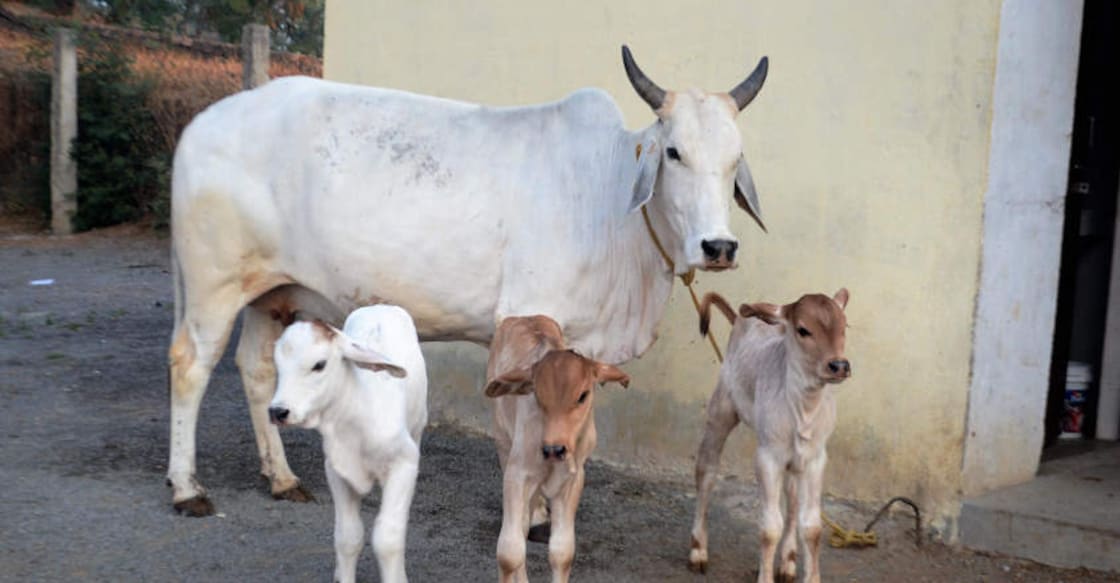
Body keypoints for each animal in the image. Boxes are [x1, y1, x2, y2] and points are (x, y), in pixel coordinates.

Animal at [167, 45, 769, 514]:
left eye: (736, 158)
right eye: (674, 152)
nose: (718, 247)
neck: (608, 197)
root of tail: (202, 122)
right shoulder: (527, 323)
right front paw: (534, 517)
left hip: (271, 293)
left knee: (256, 369)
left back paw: (282, 477)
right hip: (213, 284)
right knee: (190, 365)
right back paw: (186, 487)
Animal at [269, 305, 427, 583]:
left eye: (319, 365)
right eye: (278, 364)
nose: (278, 411)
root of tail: (380, 305)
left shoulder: (404, 463)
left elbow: (387, 539)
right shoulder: (336, 470)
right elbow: (348, 536)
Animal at [484, 315, 630, 583]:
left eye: (583, 395)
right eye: (538, 395)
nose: (555, 449)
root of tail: (518, 318)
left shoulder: (573, 477)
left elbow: (562, 552)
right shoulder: (517, 474)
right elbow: (509, 552)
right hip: (502, 441)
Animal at [687, 290, 851, 583]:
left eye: (844, 327)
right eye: (803, 330)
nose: (839, 365)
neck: (804, 411)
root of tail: (741, 319)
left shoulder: (815, 459)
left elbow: (812, 526)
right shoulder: (768, 457)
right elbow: (769, 527)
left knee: (793, 497)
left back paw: (788, 561)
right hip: (721, 409)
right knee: (706, 472)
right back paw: (698, 551)